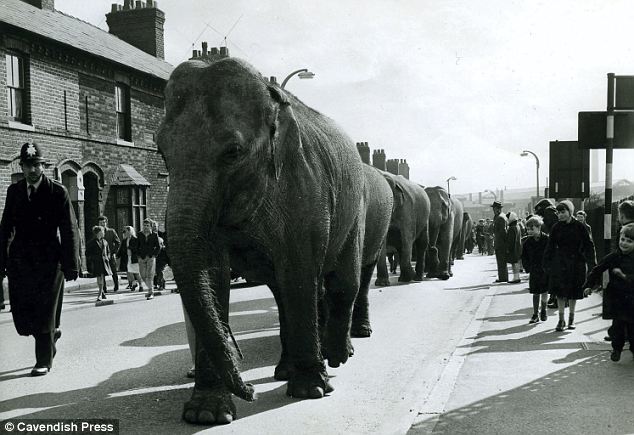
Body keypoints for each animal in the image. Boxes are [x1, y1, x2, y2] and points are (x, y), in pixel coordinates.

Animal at [157, 58, 390, 426]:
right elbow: (213, 275)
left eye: (233, 152)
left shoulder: (306, 187)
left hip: (357, 209)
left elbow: (300, 273)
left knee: (346, 281)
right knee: (286, 295)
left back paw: (338, 354)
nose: (250, 390)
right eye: (161, 150)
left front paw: (311, 389)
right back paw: (286, 369)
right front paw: (206, 413)